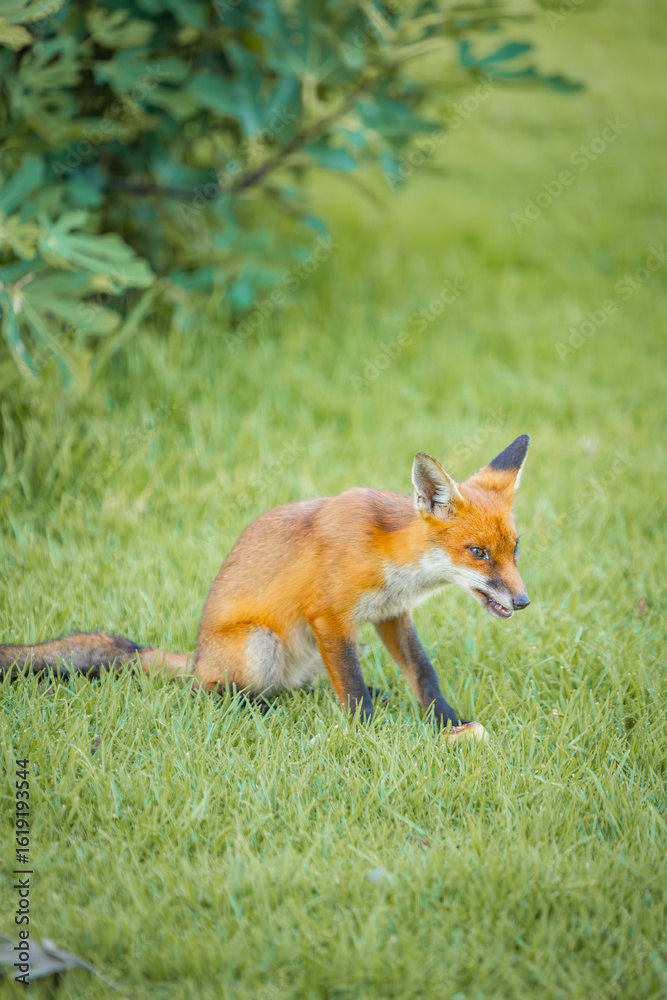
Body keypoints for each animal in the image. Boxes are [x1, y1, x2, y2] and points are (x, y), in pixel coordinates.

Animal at [1, 434, 531, 732]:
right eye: (478, 553)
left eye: (515, 548)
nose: (523, 600)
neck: (389, 555)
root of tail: (198, 658)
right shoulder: (328, 615)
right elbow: (353, 690)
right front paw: (369, 737)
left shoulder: (389, 614)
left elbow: (422, 672)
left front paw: (447, 721)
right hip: (261, 645)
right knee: (220, 692)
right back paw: (256, 711)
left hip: (311, 652)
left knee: (305, 687)